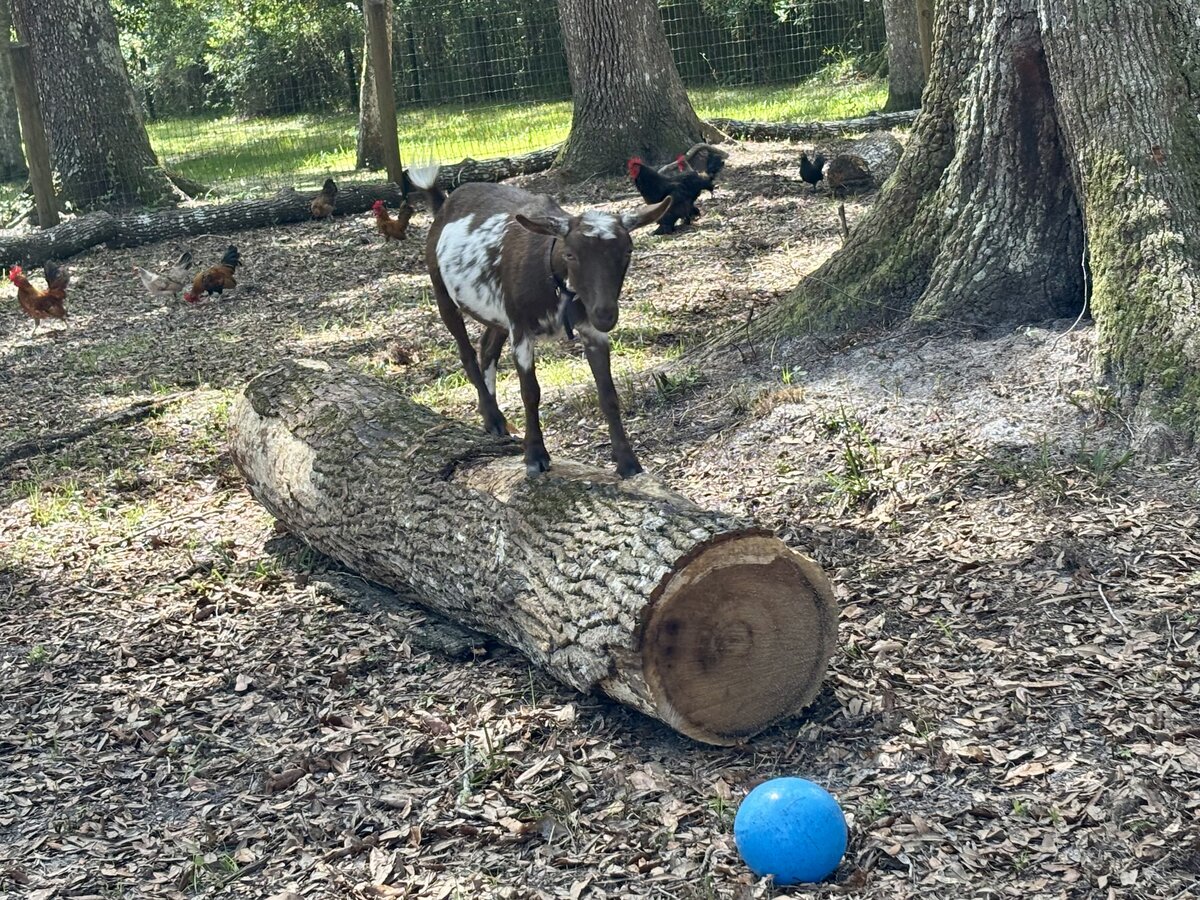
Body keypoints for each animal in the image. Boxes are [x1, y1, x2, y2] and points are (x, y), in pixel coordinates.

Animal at [408, 165, 669, 478]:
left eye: (628, 251)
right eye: (570, 254)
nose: (605, 314)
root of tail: (443, 205)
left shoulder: (590, 330)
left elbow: (607, 393)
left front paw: (628, 462)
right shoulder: (521, 328)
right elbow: (530, 391)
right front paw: (535, 455)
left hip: (498, 311)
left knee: (487, 347)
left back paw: (494, 417)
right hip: (442, 291)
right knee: (467, 351)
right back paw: (493, 418)